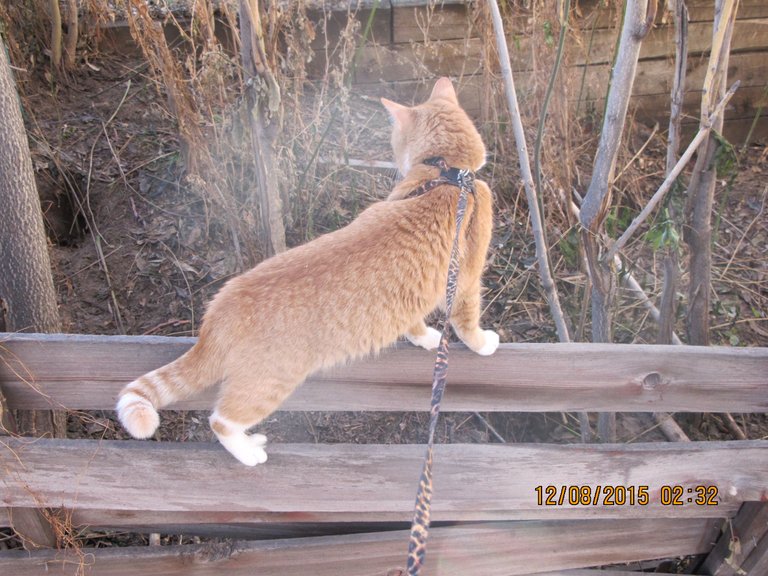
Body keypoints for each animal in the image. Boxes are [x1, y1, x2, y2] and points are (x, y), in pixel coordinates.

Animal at [116, 77, 496, 464]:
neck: (447, 173)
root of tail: (220, 310)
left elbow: (413, 322)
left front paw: (427, 338)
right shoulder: (465, 282)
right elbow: (467, 323)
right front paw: (483, 344)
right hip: (268, 384)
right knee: (221, 421)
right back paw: (248, 452)